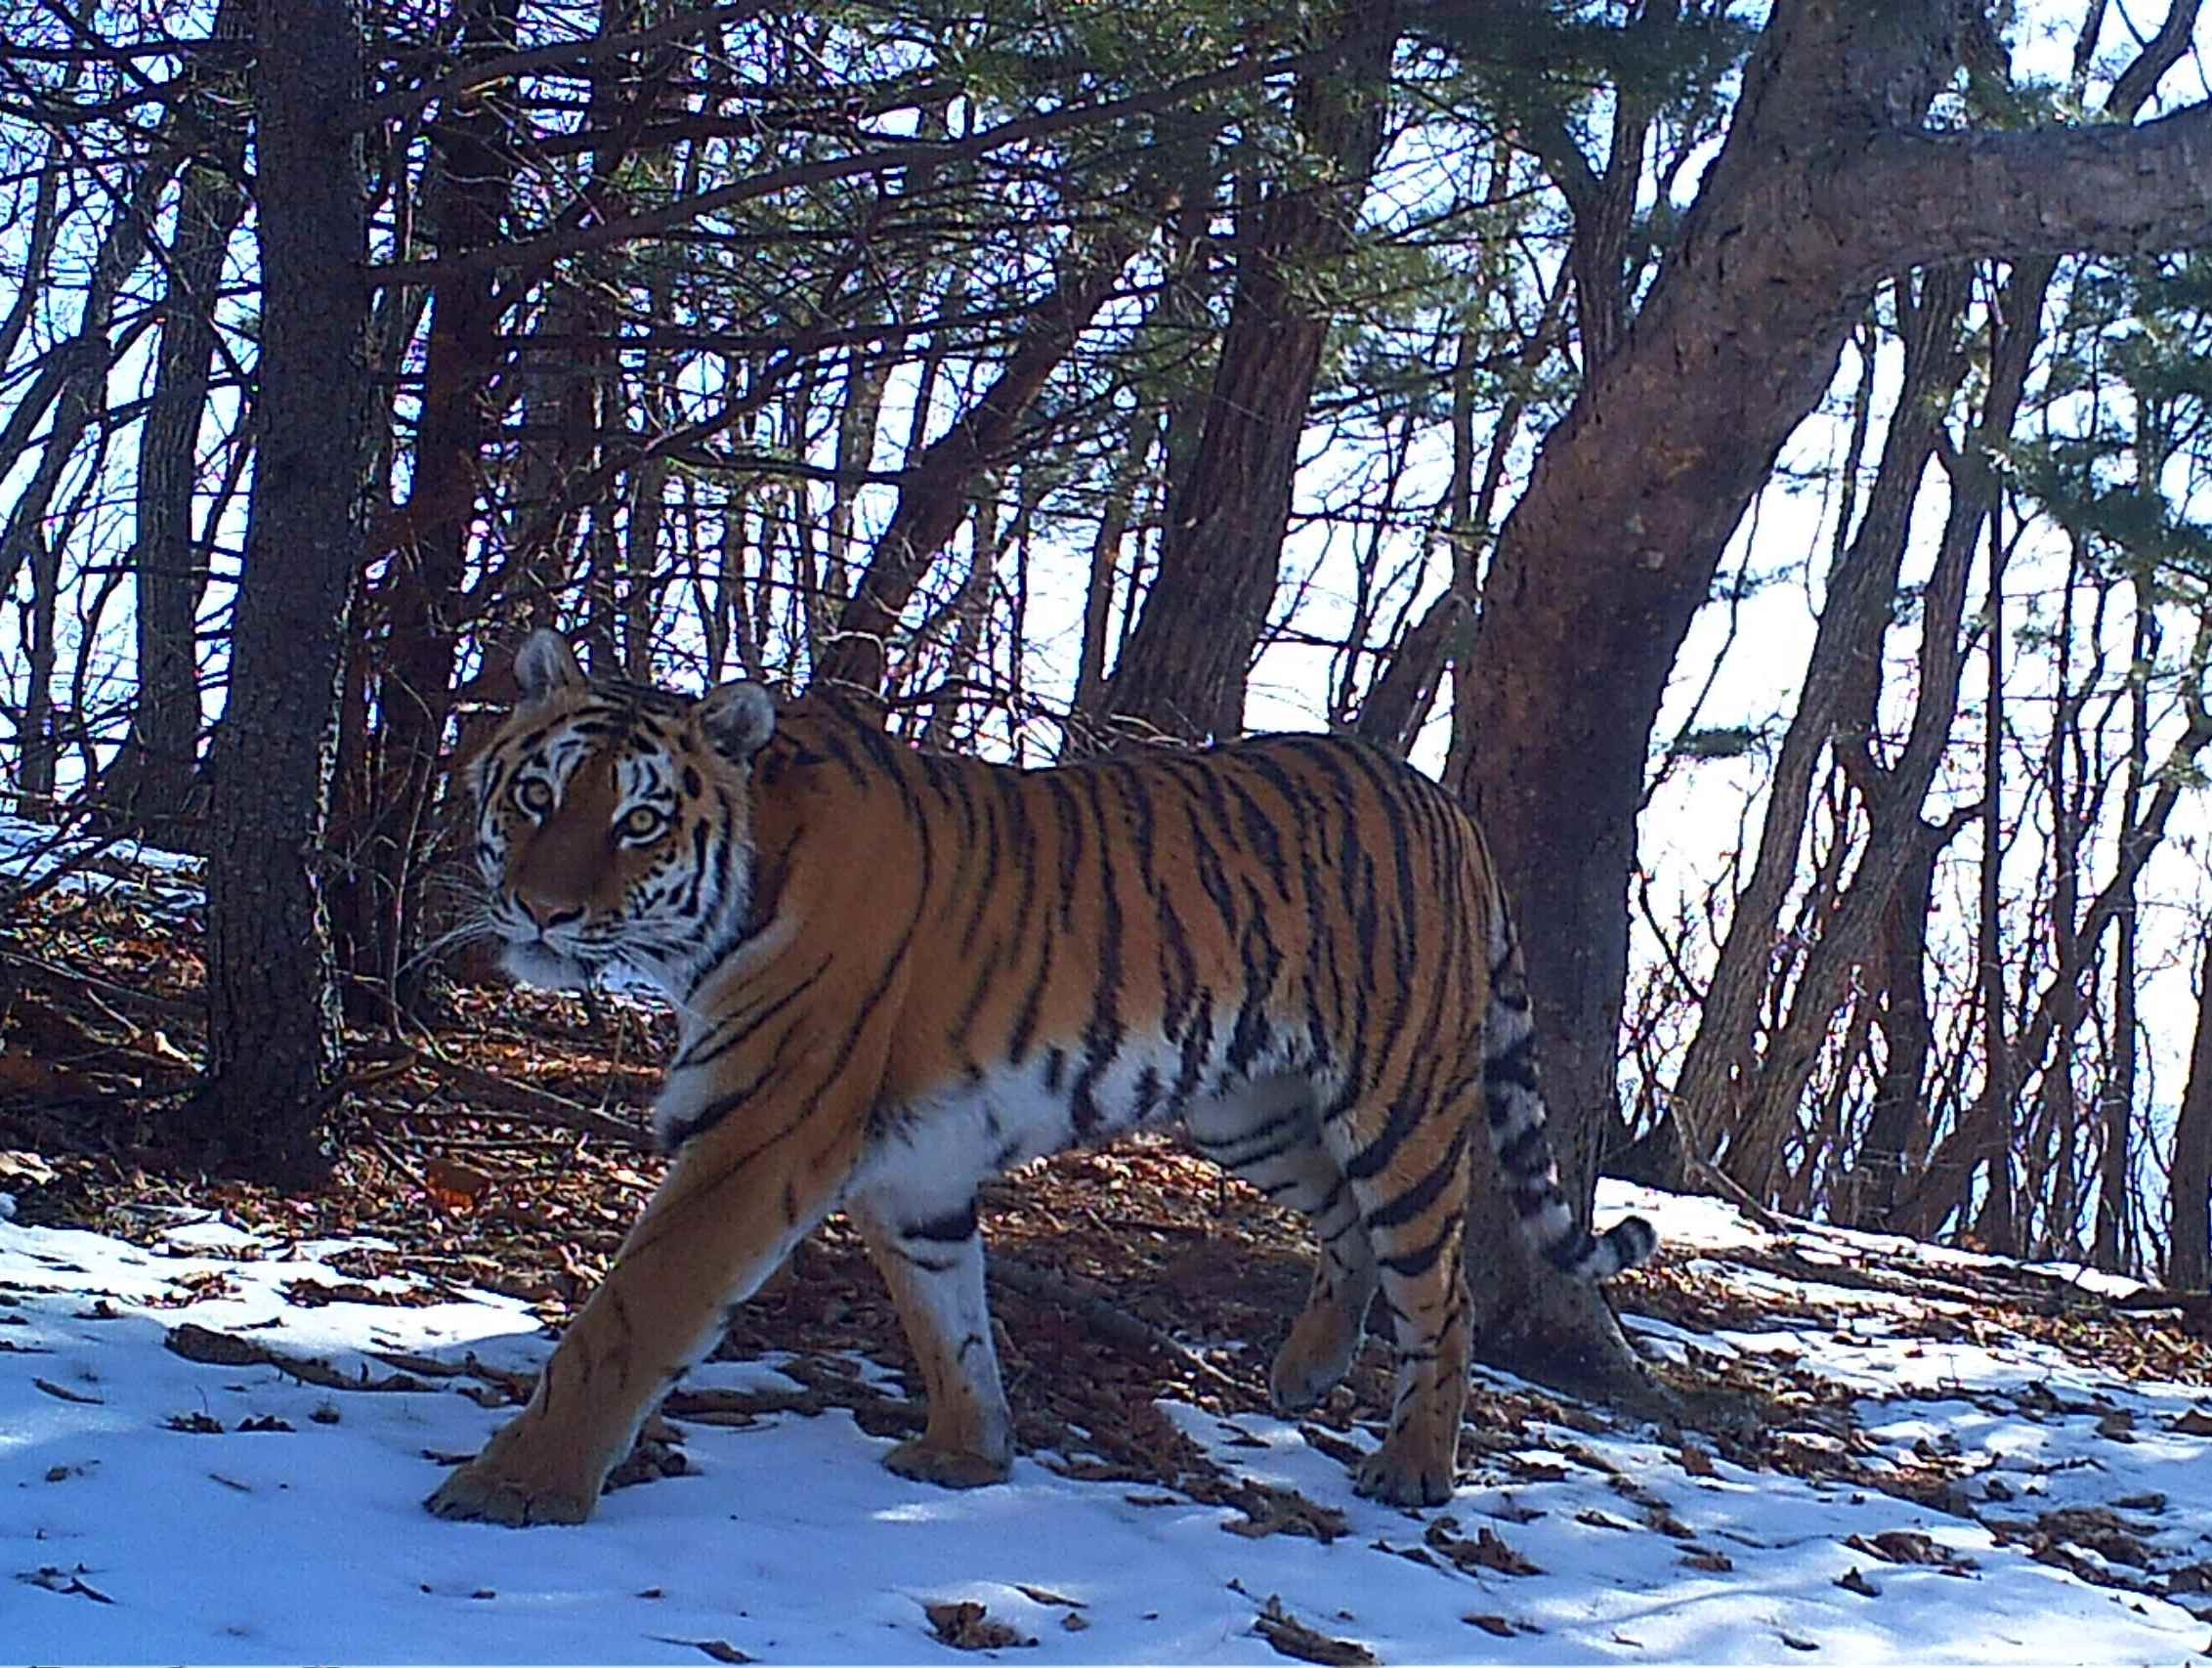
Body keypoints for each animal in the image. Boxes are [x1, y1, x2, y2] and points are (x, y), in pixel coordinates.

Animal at [422, 627, 1654, 1530]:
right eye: (536, 798)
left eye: (638, 820)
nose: (542, 911)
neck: (713, 919)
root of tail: (1447, 806)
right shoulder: (909, 1169)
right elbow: (947, 1316)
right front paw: (968, 1453)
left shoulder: (756, 1136)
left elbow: (626, 1322)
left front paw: (513, 1488)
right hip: (1246, 1113)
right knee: (1345, 1227)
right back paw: (1307, 1370)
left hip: (1395, 1105)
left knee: (1441, 1290)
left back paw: (1412, 1466)